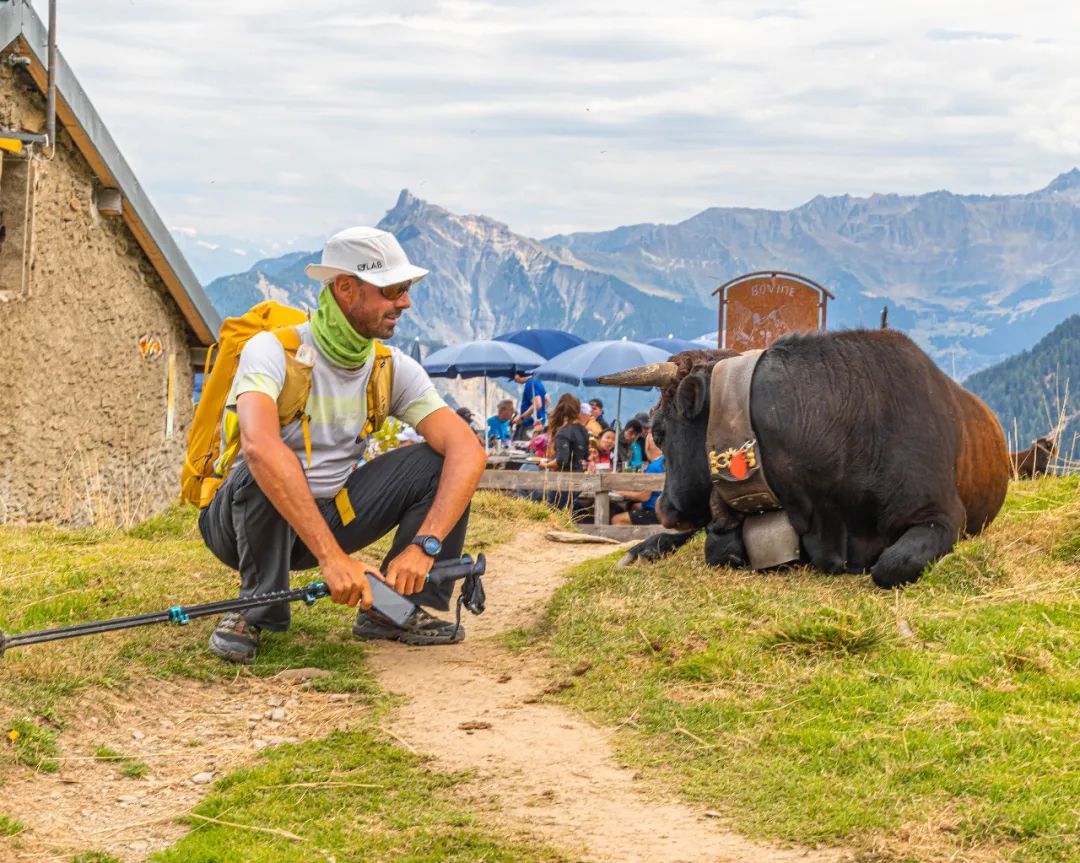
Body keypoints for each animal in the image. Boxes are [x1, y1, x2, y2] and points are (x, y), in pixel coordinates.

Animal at [604, 328, 1006, 591]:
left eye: (659, 432)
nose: (664, 508)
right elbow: (718, 547)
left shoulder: (942, 515)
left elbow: (891, 565)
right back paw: (643, 549)